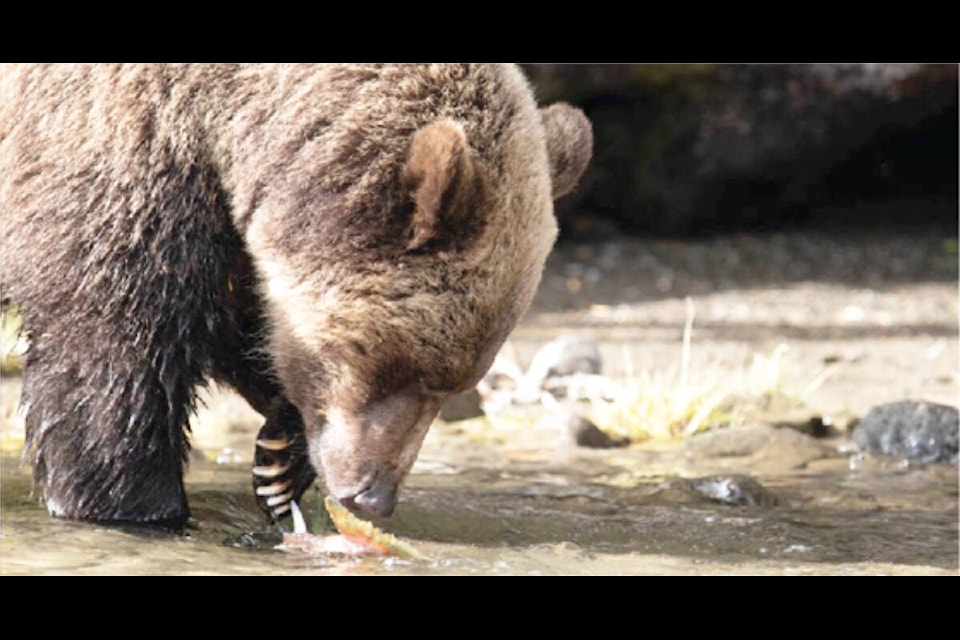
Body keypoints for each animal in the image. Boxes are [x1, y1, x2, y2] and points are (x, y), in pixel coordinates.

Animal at [0, 63, 588, 524]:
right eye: (417, 373)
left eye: (459, 381)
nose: (374, 497)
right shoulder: (115, 150)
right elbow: (115, 355)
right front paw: (135, 503)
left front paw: (281, 460)